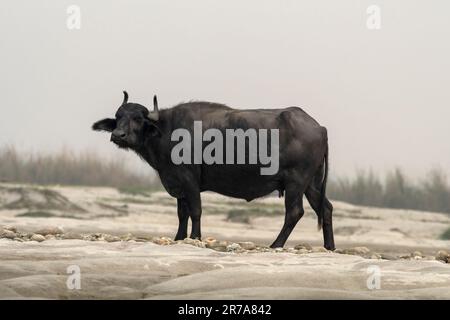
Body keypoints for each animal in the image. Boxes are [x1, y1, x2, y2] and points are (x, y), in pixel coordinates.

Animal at [93, 90, 336, 250]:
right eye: (118, 117)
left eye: (137, 118)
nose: (118, 135)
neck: (166, 131)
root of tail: (320, 128)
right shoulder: (176, 182)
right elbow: (181, 213)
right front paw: (179, 237)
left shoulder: (189, 180)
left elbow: (195, 210)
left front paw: (195, 237)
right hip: (312, 184)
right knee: (325, 209)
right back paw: (329, 246)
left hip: (296, 181)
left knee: (294, 212)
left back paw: (275, 244)